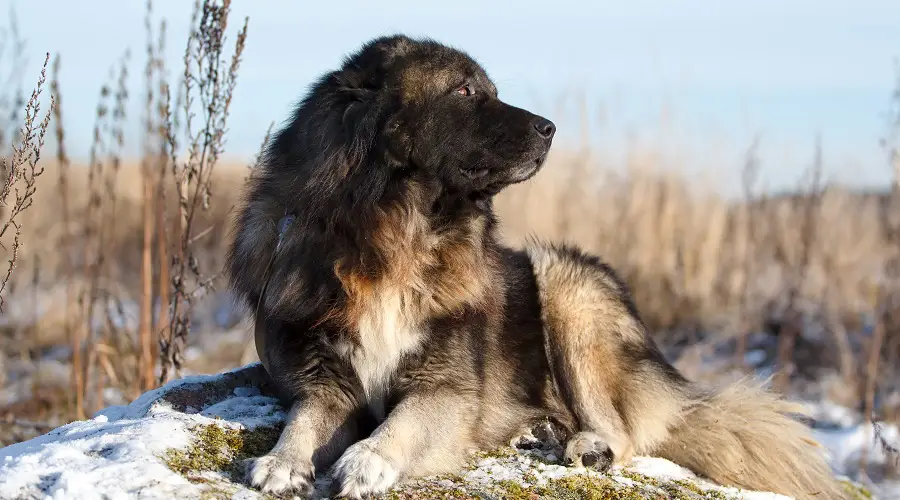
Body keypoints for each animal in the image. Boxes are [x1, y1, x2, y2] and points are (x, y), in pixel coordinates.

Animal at [225, 33, 844, 498]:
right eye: (464, 90)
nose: (550, 127)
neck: (396, 234)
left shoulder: (447, 390)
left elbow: (402, 423)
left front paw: (367, 458)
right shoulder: (325, 378)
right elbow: (306, 418)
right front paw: (282, 460)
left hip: (563, 290)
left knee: (624, 431)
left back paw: (585, 445)